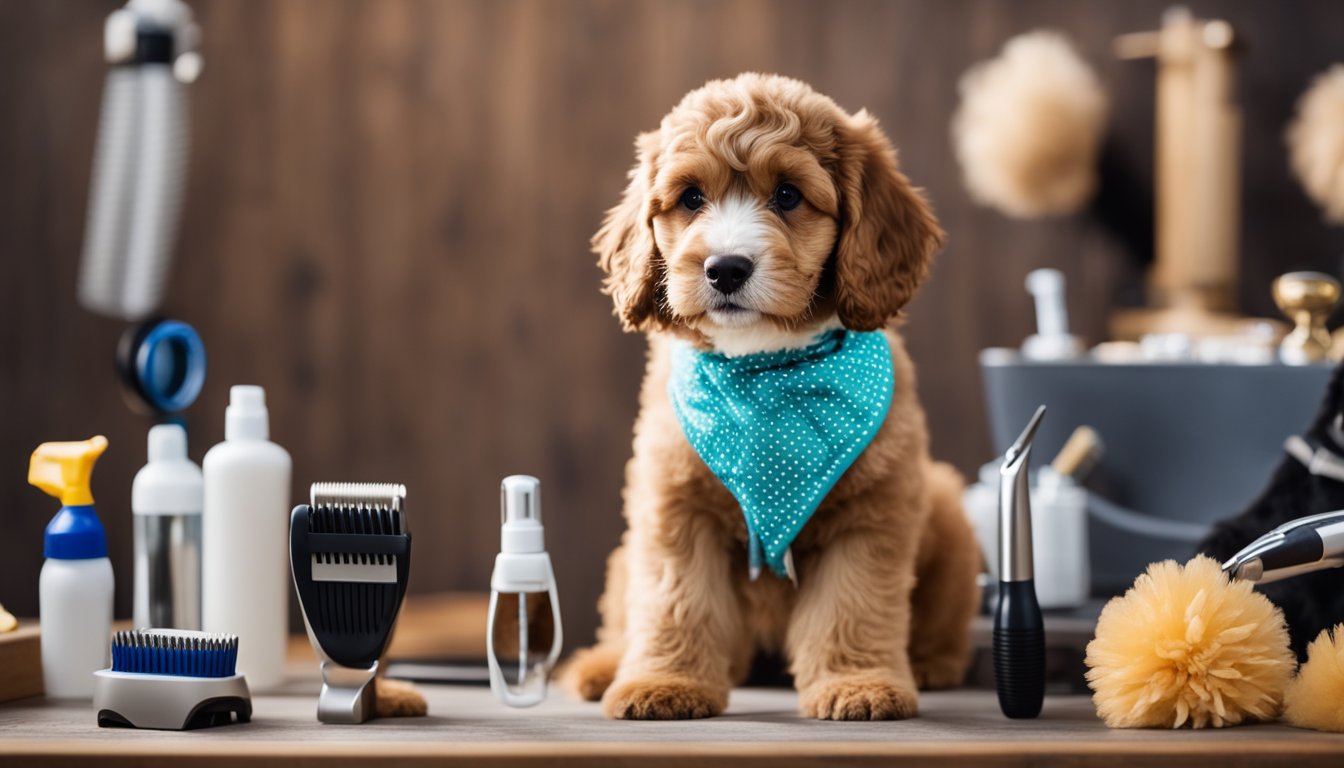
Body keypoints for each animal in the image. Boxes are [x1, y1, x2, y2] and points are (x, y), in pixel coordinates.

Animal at [561, 71, 983, 720]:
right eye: (690, 198)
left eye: (788, 195)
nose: (725, 268)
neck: (762, 369)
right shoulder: (674, 505)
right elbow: (674, 601)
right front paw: (665, 681)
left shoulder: (873, 512)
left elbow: (853, 603)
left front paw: (859, 683)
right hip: (623, 555)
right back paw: (604, 666)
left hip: (947, 514)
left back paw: (932, 666)